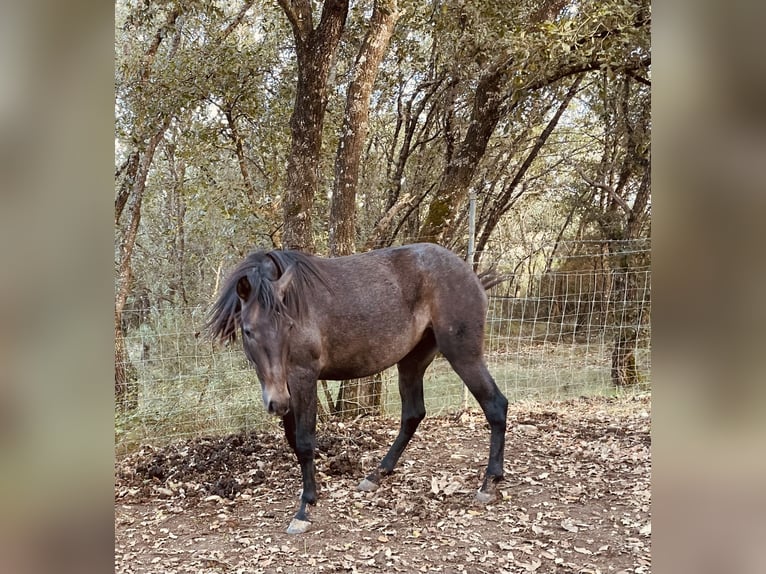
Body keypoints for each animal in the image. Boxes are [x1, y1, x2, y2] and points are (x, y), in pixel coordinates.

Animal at [207, 242, 510, 536]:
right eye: (248, 330)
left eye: (289, 327)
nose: (277, 402)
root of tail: (471, 276)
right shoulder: (287, 386)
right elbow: (293, 440)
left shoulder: (302, 378)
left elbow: (304, 441)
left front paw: (305, 509)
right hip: (412, 362)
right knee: (413, 415)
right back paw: (376, 475)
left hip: (463, 356)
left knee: (496, 405)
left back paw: (489, 483)